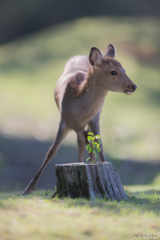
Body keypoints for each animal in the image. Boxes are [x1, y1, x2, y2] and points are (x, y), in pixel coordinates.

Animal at [22, 44, 136, 194]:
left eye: (124, 69)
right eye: (113, 72)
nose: (133, 86)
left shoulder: (94, 117)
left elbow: (100, 146)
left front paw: (104, 164)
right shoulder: (64, 120)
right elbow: (52, 151)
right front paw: (28, 189)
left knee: (87, 140)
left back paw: (88, 162)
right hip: (75, 126)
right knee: (82, 140)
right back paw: (83, 162)